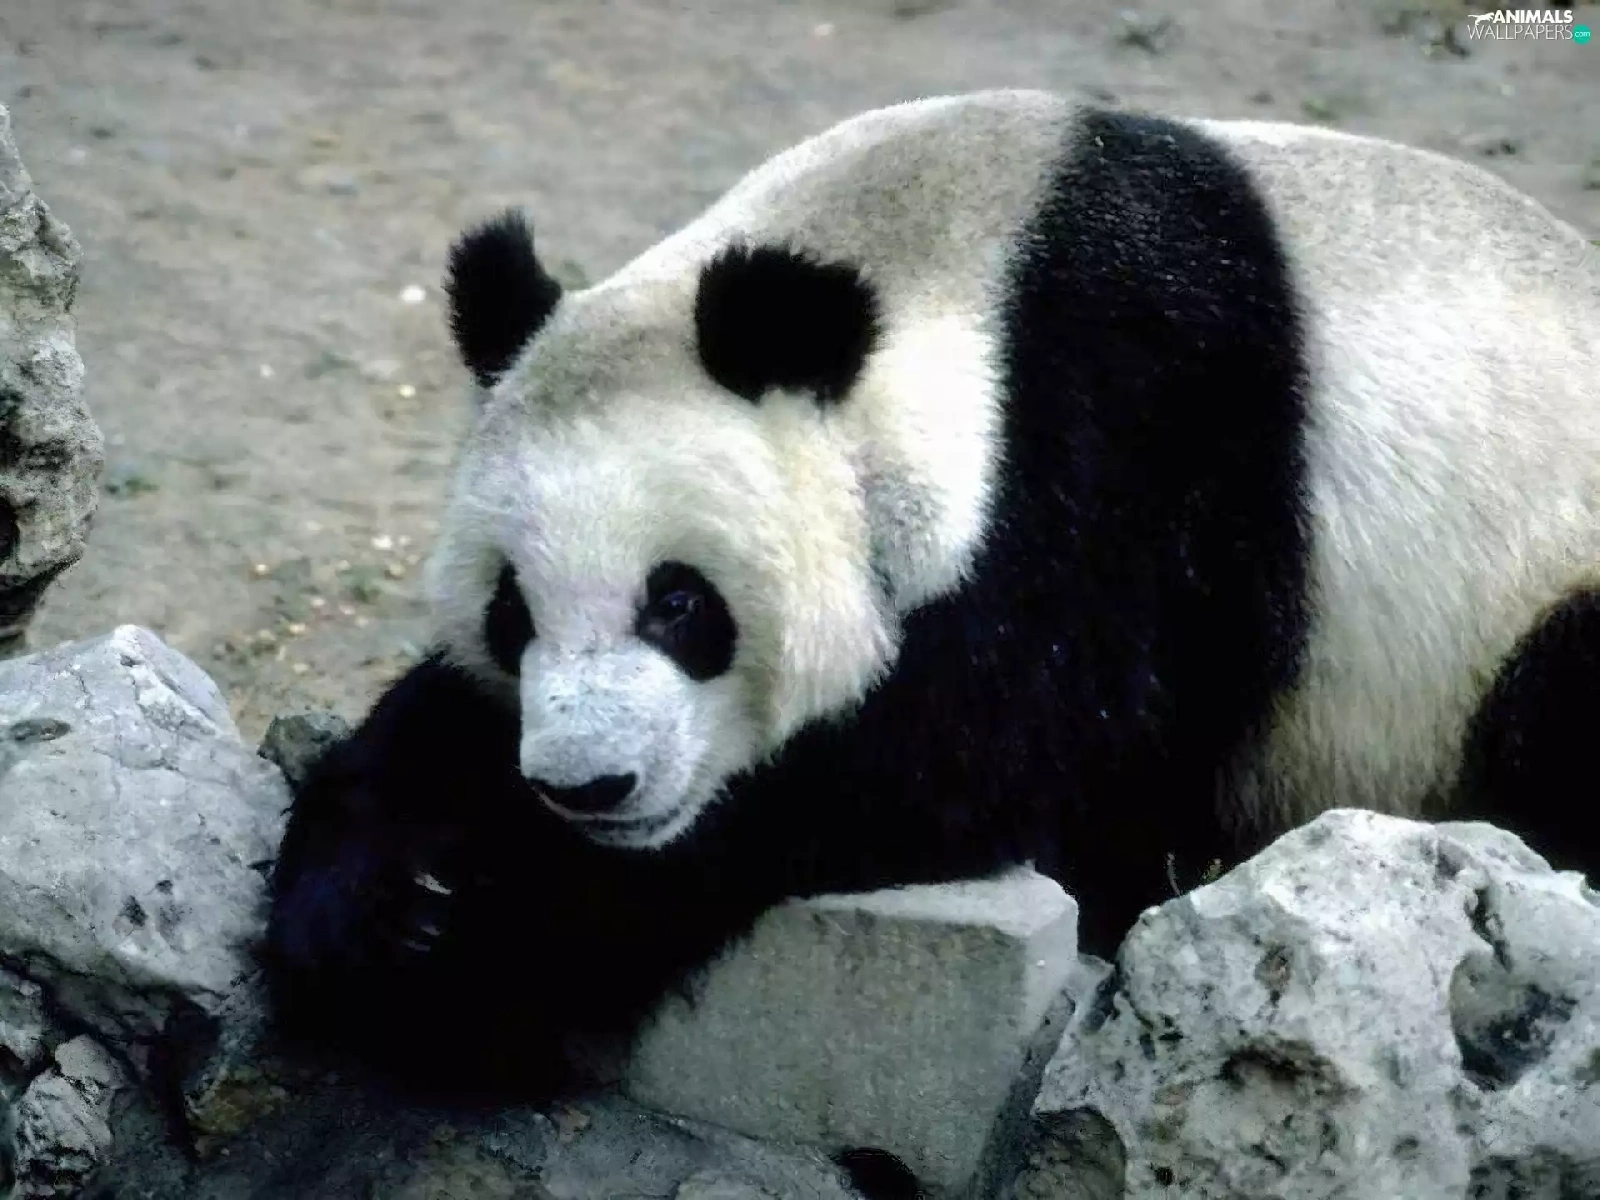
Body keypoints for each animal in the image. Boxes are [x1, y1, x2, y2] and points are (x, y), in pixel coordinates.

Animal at [263, 89, 1600, 1098]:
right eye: (512, 610)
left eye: (680, 605)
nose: (589, 787)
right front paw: (369, 899)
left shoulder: (1137, 443)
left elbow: (965, 759)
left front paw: (477, 950)